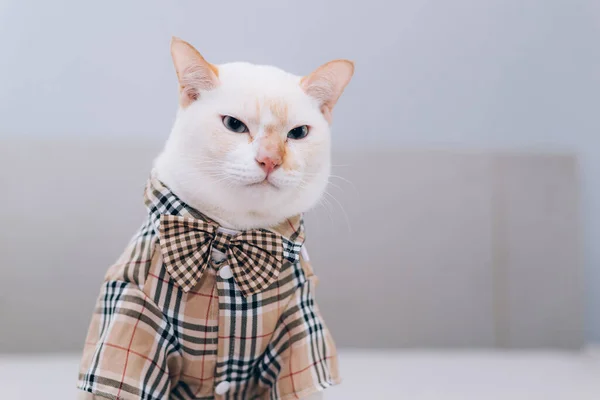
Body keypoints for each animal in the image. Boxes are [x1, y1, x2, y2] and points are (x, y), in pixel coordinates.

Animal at [77, 37, 354, 400]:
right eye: (234, 125)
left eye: (298, 133)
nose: (269, 160)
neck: (231, 234)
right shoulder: (132, 311)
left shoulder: (299, 329)